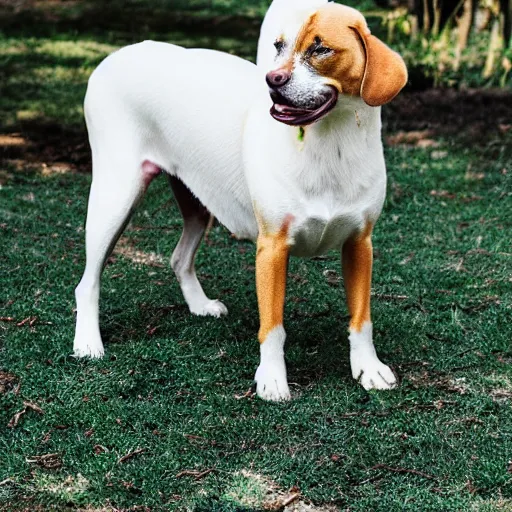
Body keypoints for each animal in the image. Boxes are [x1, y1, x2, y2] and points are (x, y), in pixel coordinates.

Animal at [73, 0, 408, 400]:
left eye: (321, 49)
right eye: (279, 46)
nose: (272, 80)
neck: (329, 143)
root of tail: (118, 54)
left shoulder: (360, 244)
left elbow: (361, 317)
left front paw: (368, 368)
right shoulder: (272, 248)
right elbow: (273, 326)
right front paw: (273, 379)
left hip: (196, 199)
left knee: (179, 258)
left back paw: (200, 305)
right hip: (115, 197)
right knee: (88, 281)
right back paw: (88, 343)